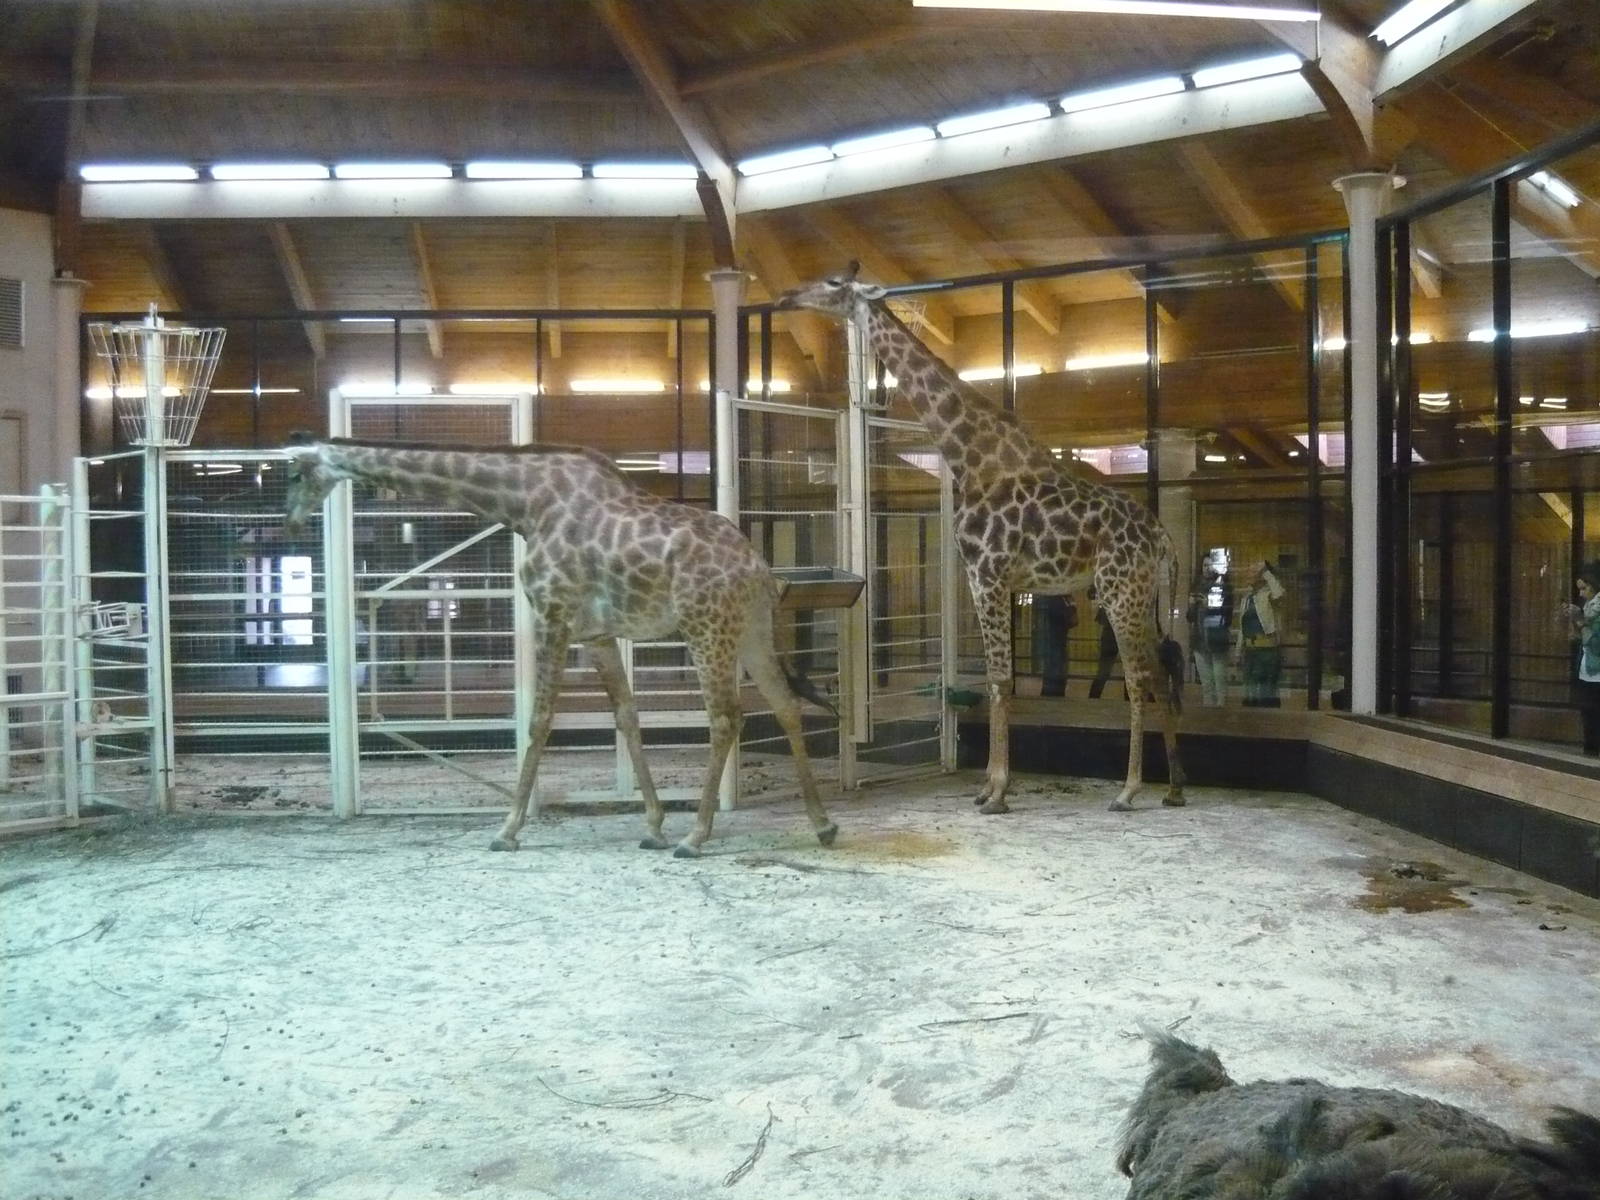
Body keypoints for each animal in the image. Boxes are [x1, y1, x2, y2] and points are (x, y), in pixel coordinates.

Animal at [281, 436, 839, 857]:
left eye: (294, 473)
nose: (290, 521)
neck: (524, 504)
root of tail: (759, 569)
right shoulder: (596, 633)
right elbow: (626, 717)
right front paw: (653, 825)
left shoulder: (552, 614)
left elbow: (539, 719)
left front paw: (507, 829)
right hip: (751, 632)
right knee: (785, 705)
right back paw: (822, 823)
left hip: (706, 629)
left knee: (726, 717)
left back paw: (697, 837)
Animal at [778, 265, 1184, 814]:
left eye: (835, 283)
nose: (787, 295)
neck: (970, 459)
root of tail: (1162, 536)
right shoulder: (985, 579)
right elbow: (996, 679)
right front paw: (989, 785)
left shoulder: (987, 573)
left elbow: (998, 679)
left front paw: (997, 790)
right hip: (1142, 594)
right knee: (1159, 671)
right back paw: (1175, 788)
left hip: (1120, 591)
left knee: (1140, 678)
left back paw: (1128, 790)